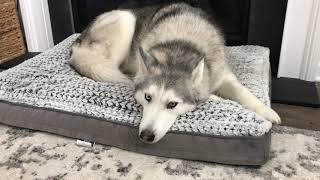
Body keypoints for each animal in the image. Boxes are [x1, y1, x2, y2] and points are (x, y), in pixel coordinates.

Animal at [70, 2, 280, 143]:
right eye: (147, 97)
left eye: (172, 104)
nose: (146, 136)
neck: (180, 47)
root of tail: (76, 43)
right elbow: (209, 96)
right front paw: (215, 98)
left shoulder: (223, 75)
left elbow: (244, 92)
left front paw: (268, 112)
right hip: (125, 20)